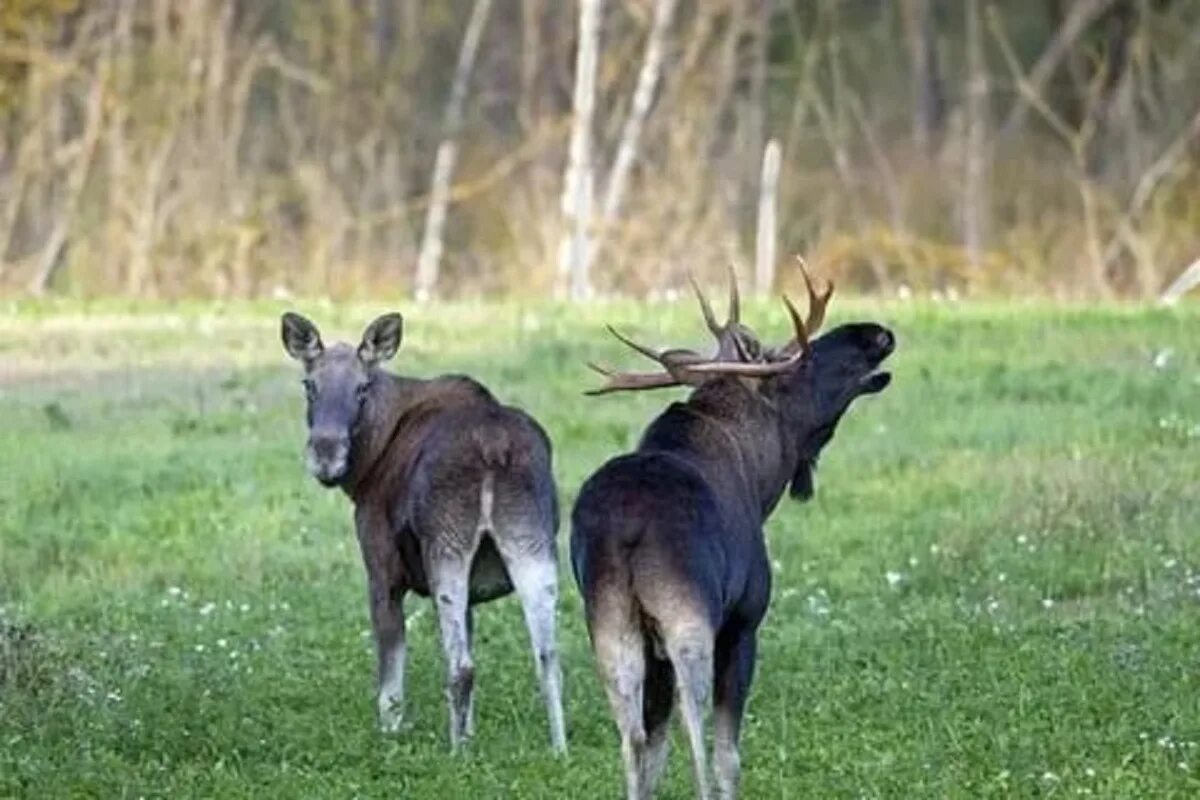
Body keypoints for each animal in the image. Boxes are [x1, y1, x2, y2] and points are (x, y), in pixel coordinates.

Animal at [280, 309, 566, 753]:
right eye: (309, 385)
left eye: (363, 388)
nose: (326, 457)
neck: (365, 469)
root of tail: (493, 446)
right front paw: (469, 733)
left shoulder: (382, 570)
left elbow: (390, 682)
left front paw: (392, 737)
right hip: (532, 543)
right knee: (549, 657)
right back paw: (558, 750)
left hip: (446, 545)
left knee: (462, 665)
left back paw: (457, 754)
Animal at [568, 263, 892, 800]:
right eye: (796, 362)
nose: (878, 335)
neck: (763, 481)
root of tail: (626, 528)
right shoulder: (743, 623)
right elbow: (727, 756)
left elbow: (654, 748)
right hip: (687, 619)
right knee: (693, 732)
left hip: (611, 626)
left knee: (633, 740)